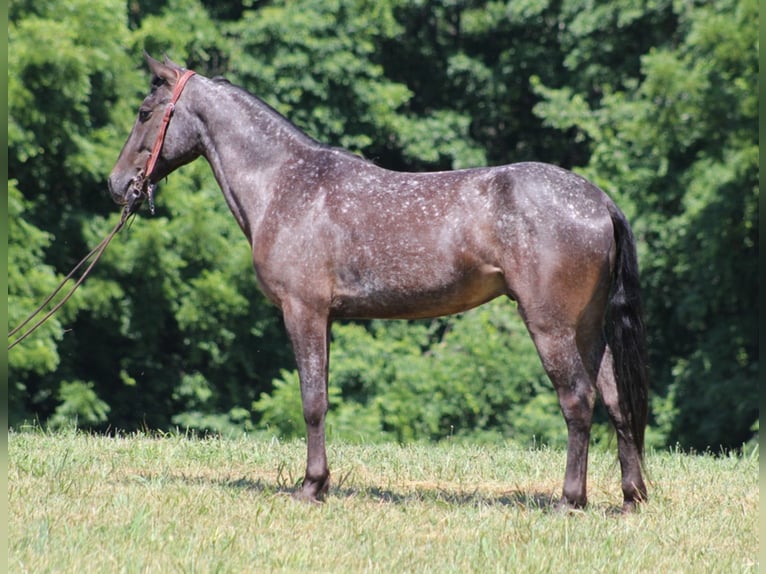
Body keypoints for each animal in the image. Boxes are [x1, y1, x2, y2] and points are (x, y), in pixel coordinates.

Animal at [106, 54, 648, 512]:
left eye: (144, 111)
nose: (116, 185)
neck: (285, 183)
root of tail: (598, 201)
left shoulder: (303, 311)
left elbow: (312, 403)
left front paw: (311, 487)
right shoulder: (324, 318)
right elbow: (322, 397)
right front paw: (320, 483)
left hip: (551, 326)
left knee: (577, 400)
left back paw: (570, 501)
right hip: (587, 329)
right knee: (616, 400)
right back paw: (630, 497)